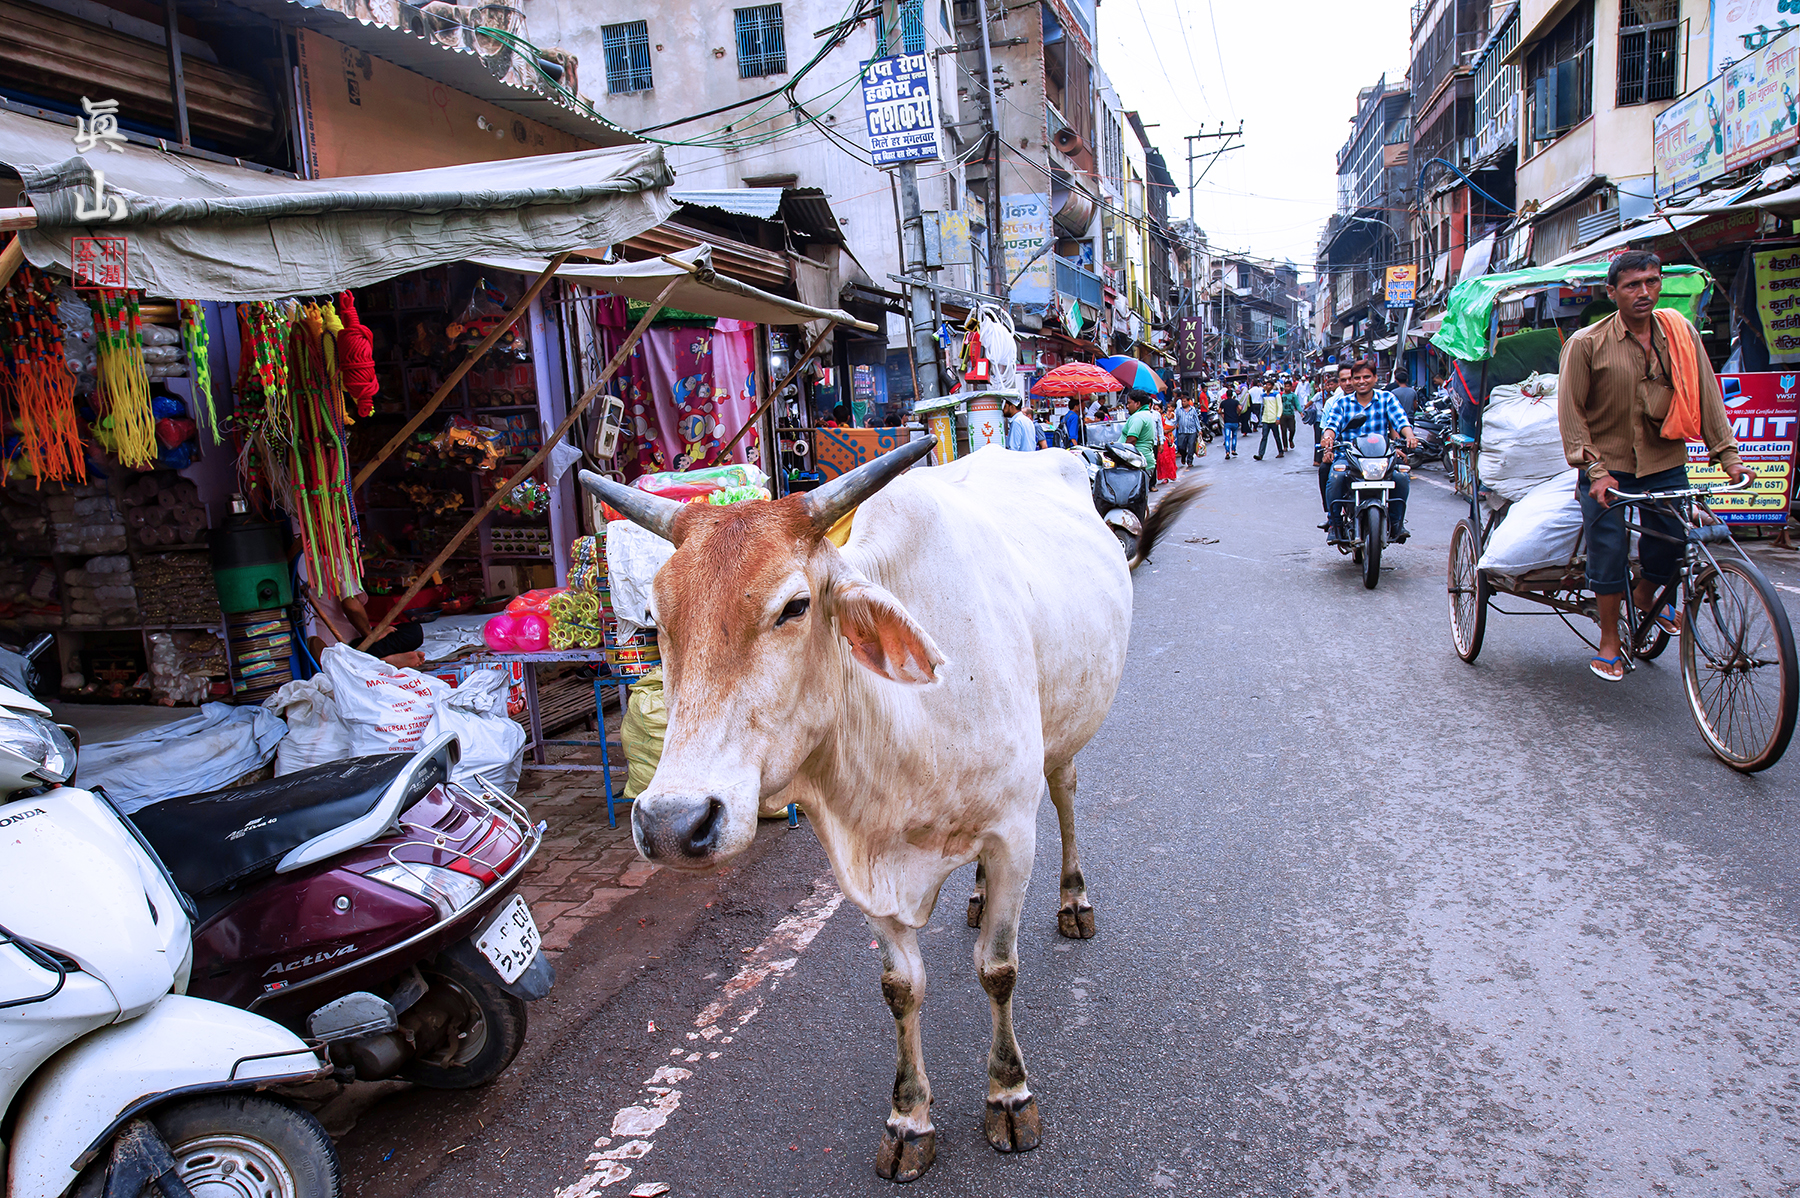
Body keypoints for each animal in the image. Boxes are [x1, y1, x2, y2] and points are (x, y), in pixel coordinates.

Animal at [580, 440, 1200, 1182]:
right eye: (660, 617)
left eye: (794, 606)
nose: (673, 824)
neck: (906, 721)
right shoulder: (859, 863)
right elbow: (902, 989)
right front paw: (909, 1119)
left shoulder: (1013, 837)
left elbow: (998, 970)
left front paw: (1008, 1095)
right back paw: (976, 897)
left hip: (1063, 740)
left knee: (1067, 793)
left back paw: (1074, 900)